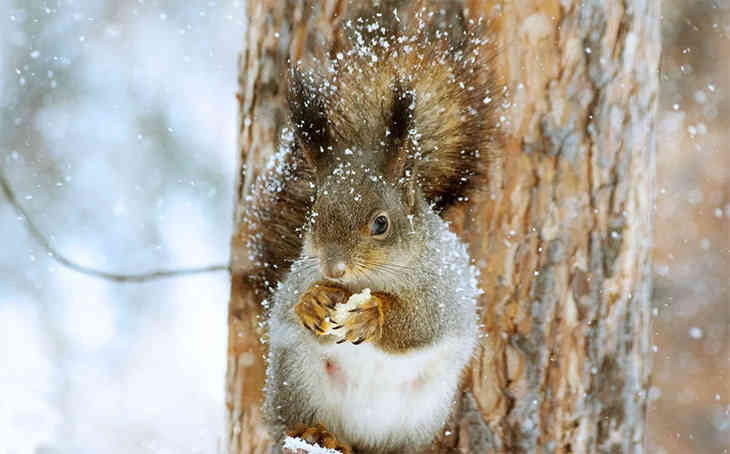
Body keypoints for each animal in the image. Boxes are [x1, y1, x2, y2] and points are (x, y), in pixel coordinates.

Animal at [246, 12, 500, 454]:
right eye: (313, 216)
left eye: (381, 224)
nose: (334, 268)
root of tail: (359, 439)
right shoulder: (296, 276)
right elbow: (286, 302)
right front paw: (312, 301)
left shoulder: (444, 290)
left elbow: (421, 322)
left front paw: (372, 314)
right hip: (296, 379)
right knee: (292, 423)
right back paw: (315, 432)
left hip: (421, 413)